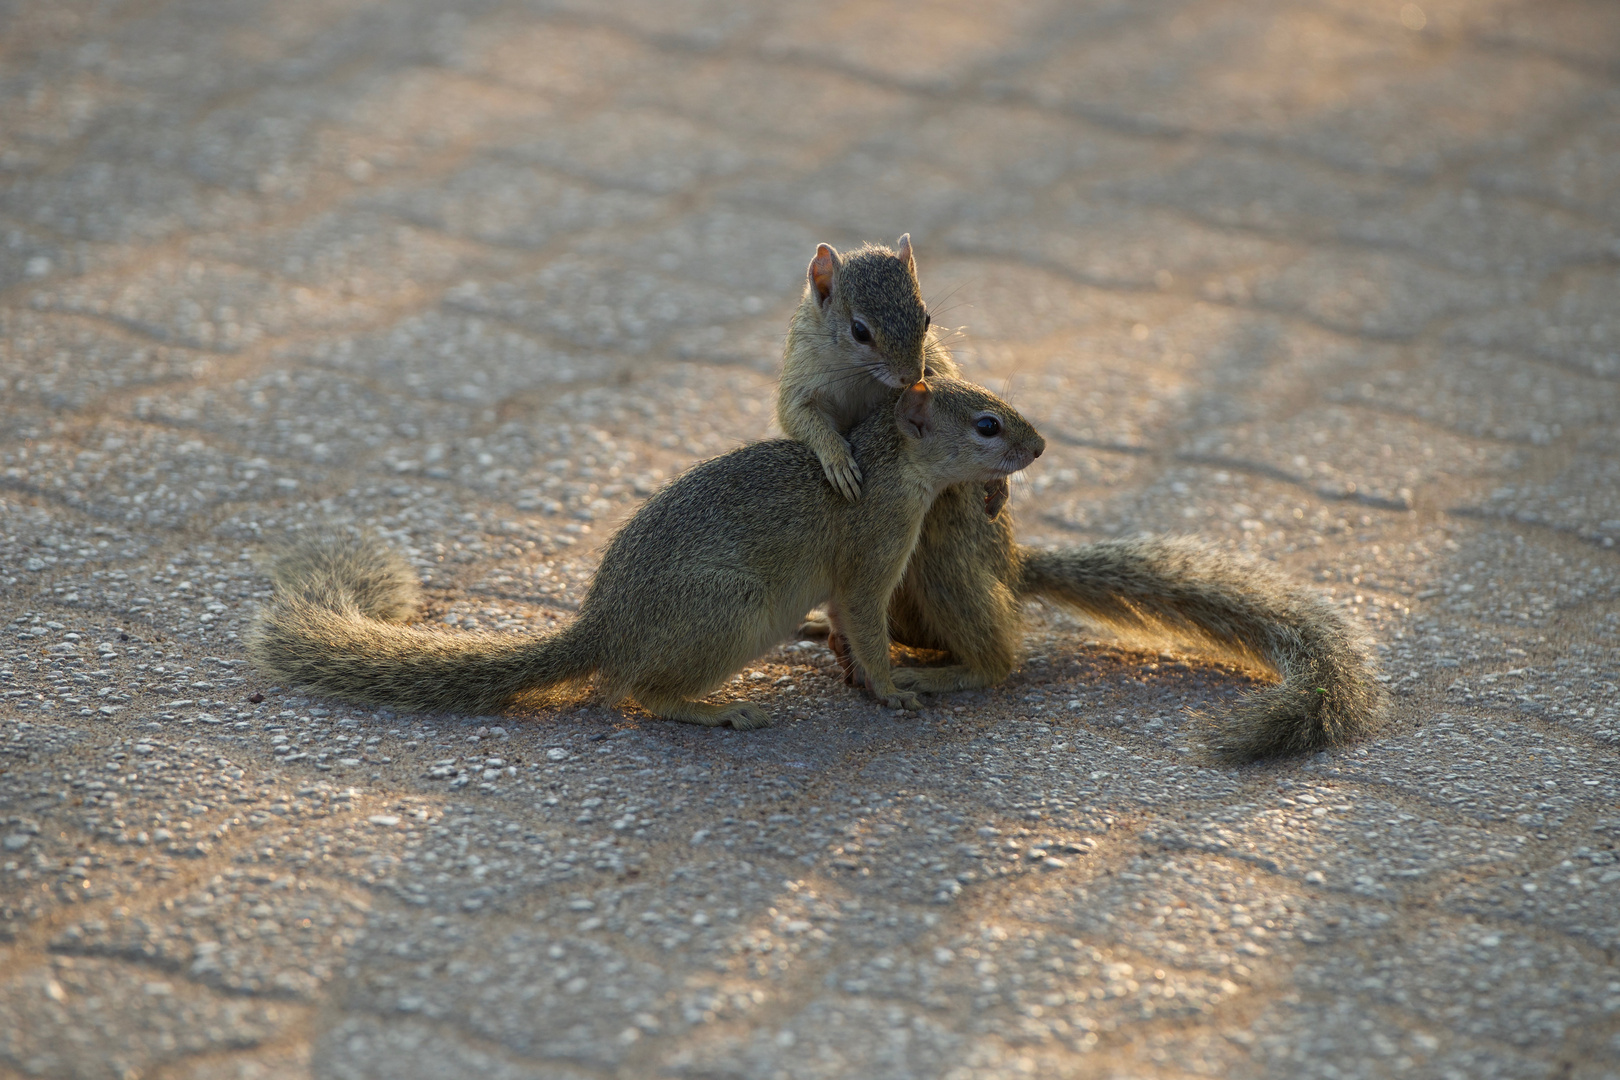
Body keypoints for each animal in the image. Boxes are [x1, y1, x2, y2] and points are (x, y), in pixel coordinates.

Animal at [246, 378, 1043, 725]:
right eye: (987, 424)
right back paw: (714, 711)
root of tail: (605, 628)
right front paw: (893, 688)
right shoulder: (870, 557)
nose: (1039, 446)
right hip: (731, 613)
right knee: (635, 693)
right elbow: (867, 628)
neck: (889, 465)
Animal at [777, 236, 1386, 761]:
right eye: (859, 330)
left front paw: (995, 484)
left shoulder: (941, 367)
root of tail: (1012, 568)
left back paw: (929, 670)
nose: (912, 377)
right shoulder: (801, 378)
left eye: (927, 319)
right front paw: (835, 458)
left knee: (995, 659)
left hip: (943, 568)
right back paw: (834, 632)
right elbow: (799, 420)